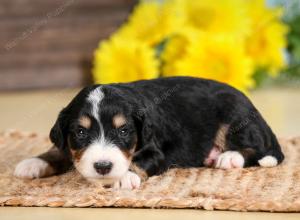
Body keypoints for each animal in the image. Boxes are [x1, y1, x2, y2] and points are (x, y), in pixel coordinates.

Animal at [15, 76, 284, 188]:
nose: (103, 167)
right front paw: (33, 163)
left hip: (234, 115)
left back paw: (228, 157)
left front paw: (123, 177)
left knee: (257, 148)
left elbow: (138, 161)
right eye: (80, 132)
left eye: (124, 131)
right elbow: (60, 149)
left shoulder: (156, 151)